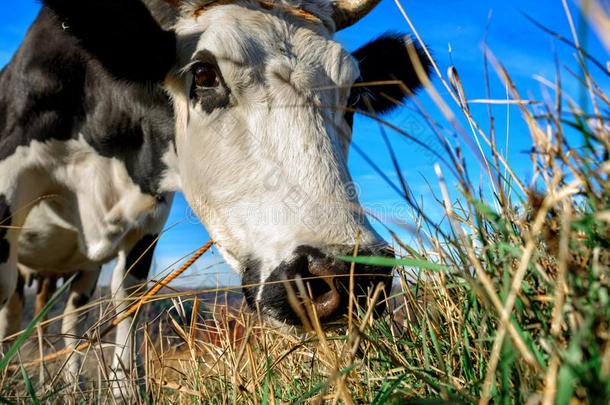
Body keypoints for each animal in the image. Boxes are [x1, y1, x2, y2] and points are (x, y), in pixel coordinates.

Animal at [1, 0, 428, 394]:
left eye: (353, 95)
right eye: (204, 74)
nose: (345, 274)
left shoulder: (148, 221)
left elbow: (128, 306)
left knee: (70, 318)